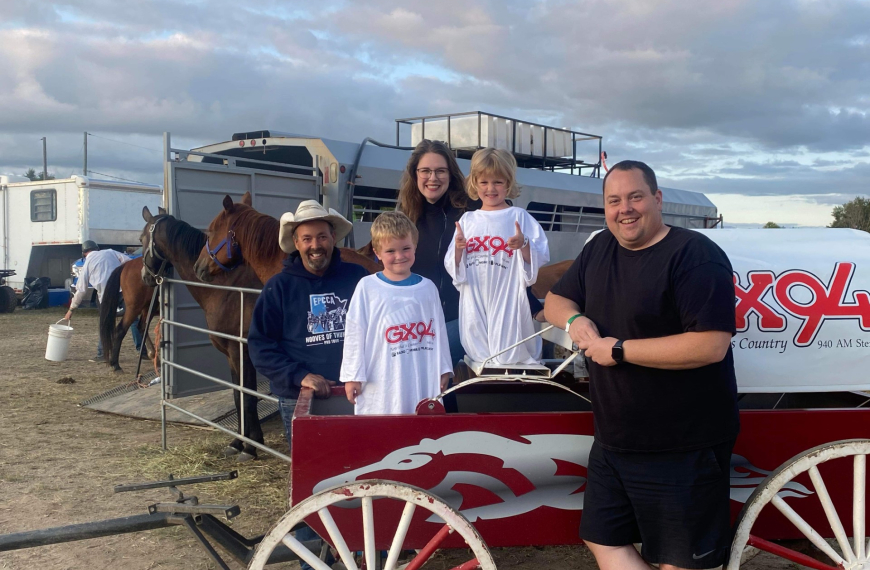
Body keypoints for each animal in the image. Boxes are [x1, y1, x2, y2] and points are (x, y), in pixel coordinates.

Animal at [140, 206, 266, 460]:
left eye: (141, 239)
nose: (144, 276)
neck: (228, 289)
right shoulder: (230, 355)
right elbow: (237, 396)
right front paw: (238, 443)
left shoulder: (241, 352)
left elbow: (247, 397)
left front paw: (251, 446)